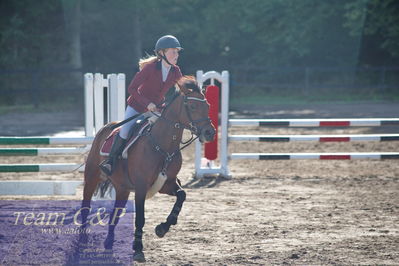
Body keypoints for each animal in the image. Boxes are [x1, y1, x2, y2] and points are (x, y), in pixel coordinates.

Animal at [80, 75, 216, 262]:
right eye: (193, 106)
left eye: (208, 106)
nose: (210, 133)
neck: (163, 146)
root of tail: (105, 128)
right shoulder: (141, 187)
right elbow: (140, 218)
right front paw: (138, 249)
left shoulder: (166, 184)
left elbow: (182, 195)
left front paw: (163, 228)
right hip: (92, 178)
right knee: (85, 206)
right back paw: (82, 240)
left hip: (122, 189)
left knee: (115, 214)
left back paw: (108, 243)